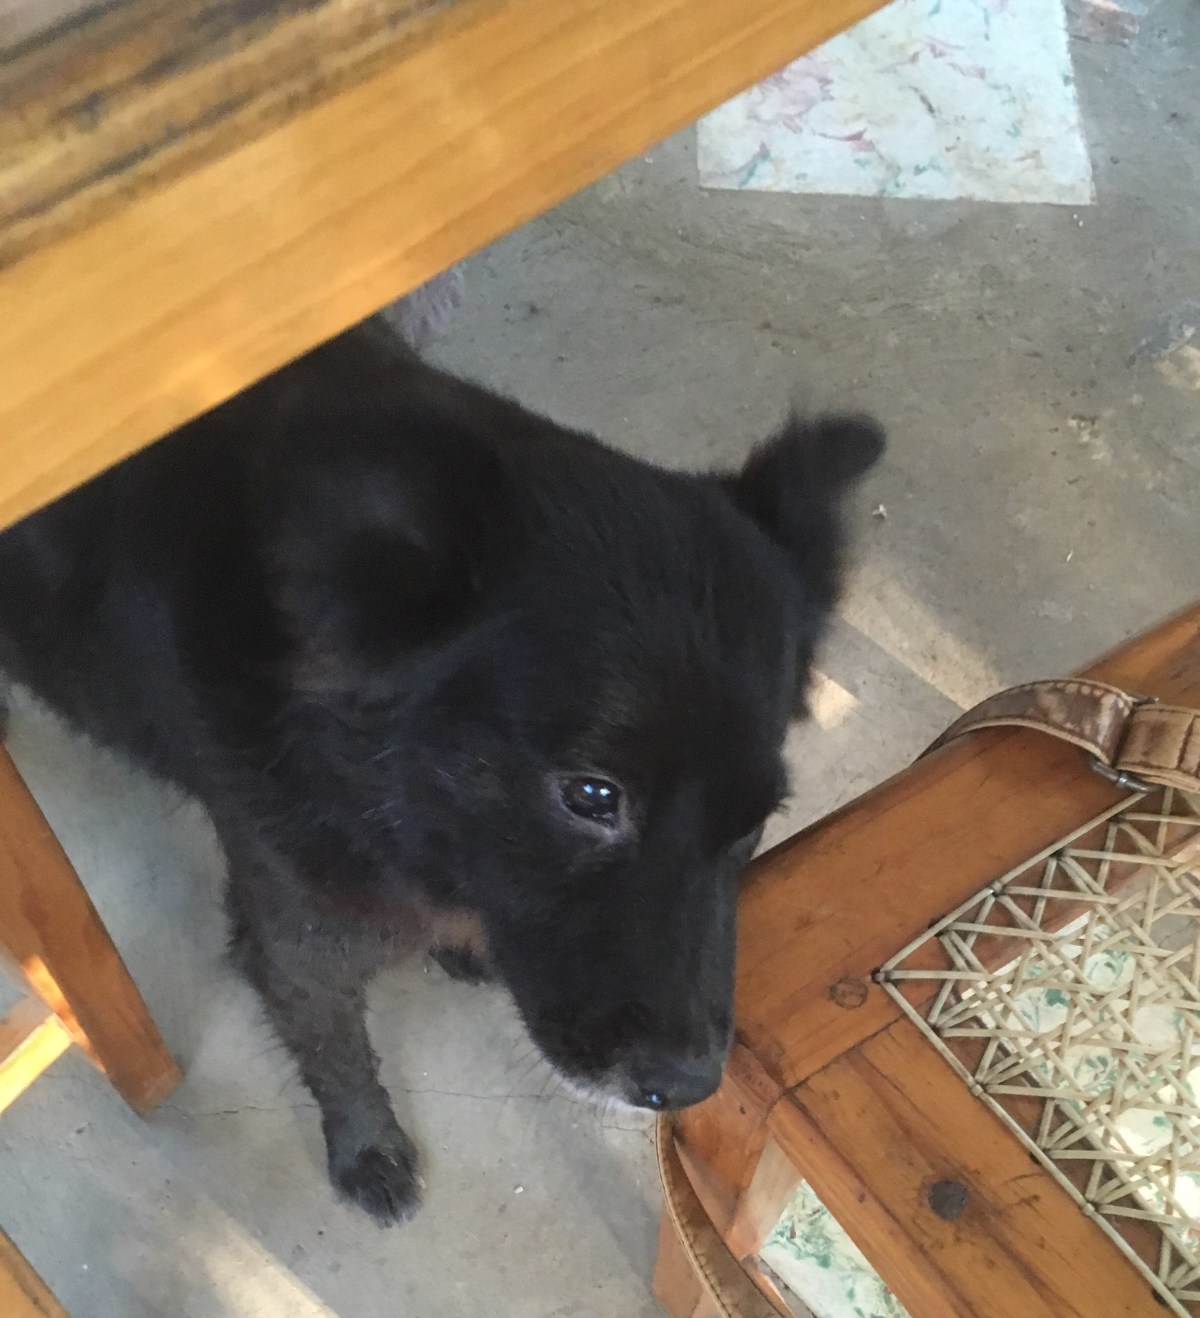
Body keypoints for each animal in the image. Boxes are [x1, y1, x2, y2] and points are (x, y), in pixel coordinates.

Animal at [0, 319, 882, 1224]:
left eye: (756, 822)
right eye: (592, 795)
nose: (693, 1086)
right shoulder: (296, 937)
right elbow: (337, 1052)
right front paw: (367, 1148)